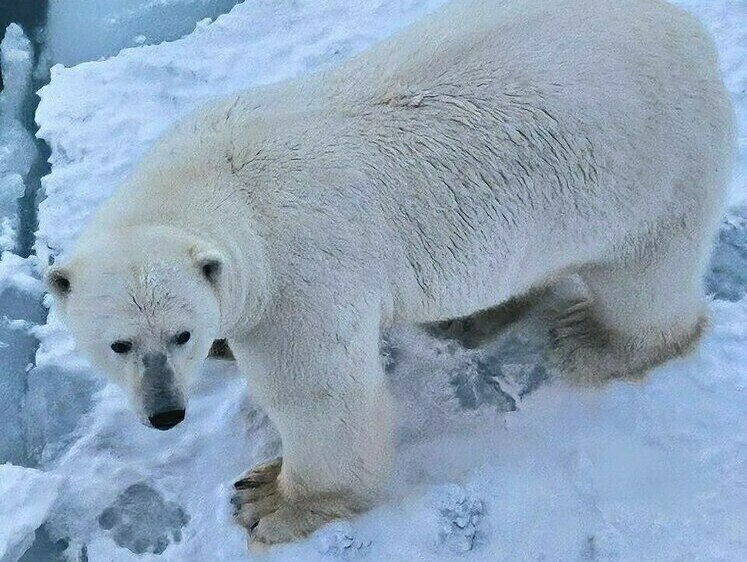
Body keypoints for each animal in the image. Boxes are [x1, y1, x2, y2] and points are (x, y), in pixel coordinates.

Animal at [48, 0, 736, 544]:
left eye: (179, 334)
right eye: (119, 344)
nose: (165, 413)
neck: (217, 176)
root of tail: (692, 31)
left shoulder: (297, 280)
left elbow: (320, 396)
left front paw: (268, 498)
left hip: (651, 170)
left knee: (646, 276)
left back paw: (594, 339)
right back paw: (474, 318)